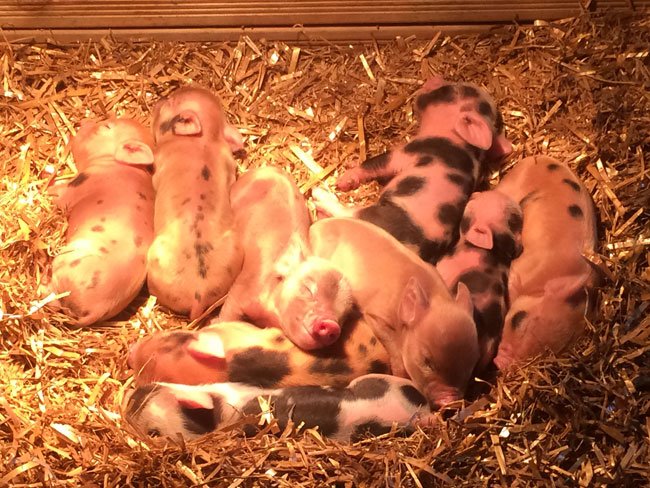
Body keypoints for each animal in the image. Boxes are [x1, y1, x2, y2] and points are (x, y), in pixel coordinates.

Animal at [48, 118, 155, 326]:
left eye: (107, 126)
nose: (84, 122)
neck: (114, 163)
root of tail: (95, 311)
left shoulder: (79, 184)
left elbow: (57, 195)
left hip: (65, 259)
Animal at [217, 166, 353, 350]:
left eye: (343, 316)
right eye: (308, 289)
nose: (332, 324)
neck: (271, 314)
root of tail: (269, 168)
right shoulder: (242, 288)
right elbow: (228, 313)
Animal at [312, 76, 512, 264]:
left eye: (449, 90)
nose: (434, 78)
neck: (457, 140)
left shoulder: (405, 152)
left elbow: (372, 164)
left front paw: (342, 180)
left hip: (371, 216)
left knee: (346, 213)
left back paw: (320, 194)